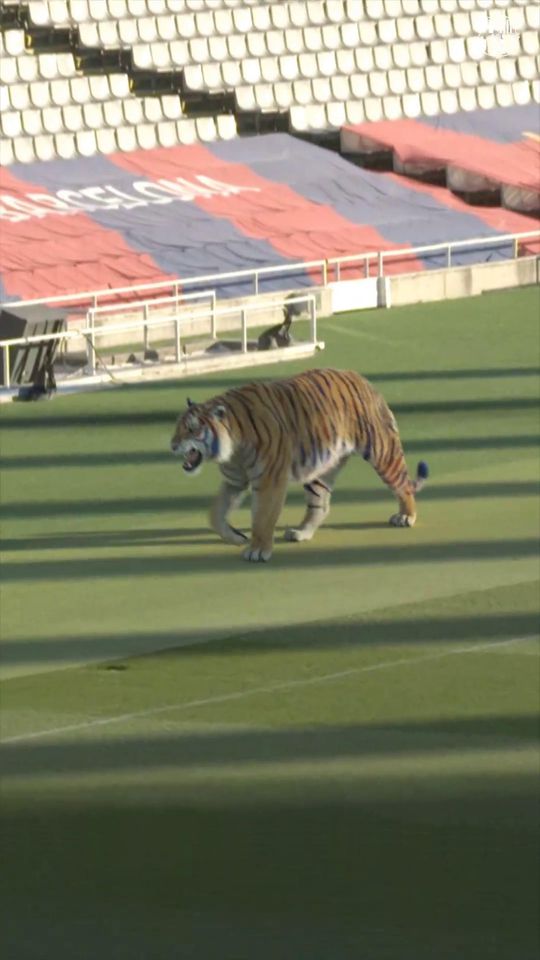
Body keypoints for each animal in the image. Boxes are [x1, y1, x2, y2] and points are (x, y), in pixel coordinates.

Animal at [171, 368, 428, 564]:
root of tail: (364, 380)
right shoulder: (234, 481)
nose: (172, 445)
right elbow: (215, 514)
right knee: (320, 506)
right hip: (320, 471)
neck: (232, 450)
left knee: (402, 485)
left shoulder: (269, 481)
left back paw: (406, 516)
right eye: (177, 427)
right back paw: (301, 532)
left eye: (192, 429)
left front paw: (258, 550)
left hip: (382, 452)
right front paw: (236, 537)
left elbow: (262, 517)